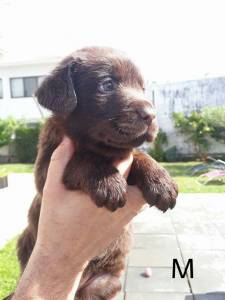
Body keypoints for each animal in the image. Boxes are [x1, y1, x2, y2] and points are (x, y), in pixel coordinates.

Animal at [6, 47, 178, 300]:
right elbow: (84, 158)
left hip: (103, 283)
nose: (151, 115)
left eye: (142, 88)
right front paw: (107, 183)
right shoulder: (45, 169)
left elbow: (139, 155)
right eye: (107, 85)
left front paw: (161, 181)